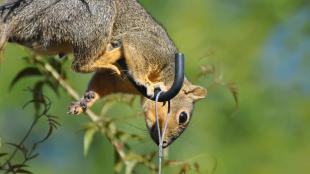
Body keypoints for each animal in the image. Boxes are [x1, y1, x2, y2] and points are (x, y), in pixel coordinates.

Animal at [1, 0, 208, 147]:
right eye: (183, 117)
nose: (163, 144)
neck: (169, 73)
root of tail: (18, 16)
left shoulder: (117, 81)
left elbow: (102, 83)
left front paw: (87, 100)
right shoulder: (147, 46)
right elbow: (136, 55)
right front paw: (147, 82)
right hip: (91, 17)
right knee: (80, 64)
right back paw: (111, 52)